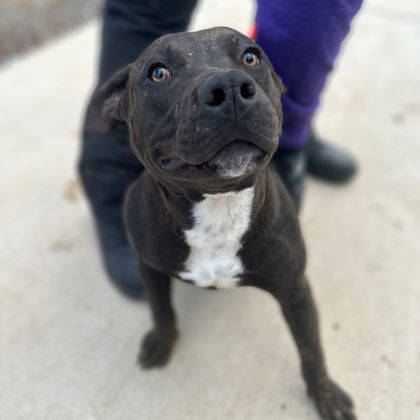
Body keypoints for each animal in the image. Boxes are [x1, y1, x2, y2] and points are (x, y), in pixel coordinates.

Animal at [87, 27, 356, 420]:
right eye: (158, 72)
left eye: (250, 57)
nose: (229, 86)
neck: (219, 205)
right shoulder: (148, 267)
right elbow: (161, 309)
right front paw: (162, 342)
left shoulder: (295, 290)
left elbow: (311, 350)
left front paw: (324, 394)